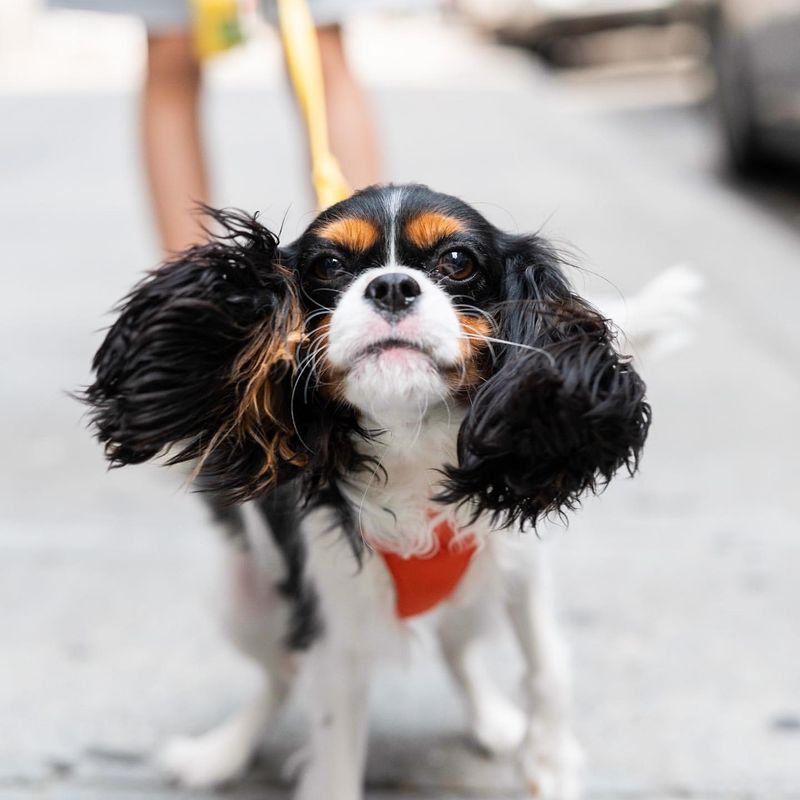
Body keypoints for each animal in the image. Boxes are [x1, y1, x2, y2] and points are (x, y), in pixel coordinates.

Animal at [84, 184, 652, 796]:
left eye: (458, 261)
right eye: (329, 266)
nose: (392, 285)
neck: (411, 439)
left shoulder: (519, 567)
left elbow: (549, 667)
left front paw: (550, 763)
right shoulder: (334, 623)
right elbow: (334, 754)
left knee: (456, 648)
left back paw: (493, 720)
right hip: (245, 604)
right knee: (281, 674)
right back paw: (220, 753)